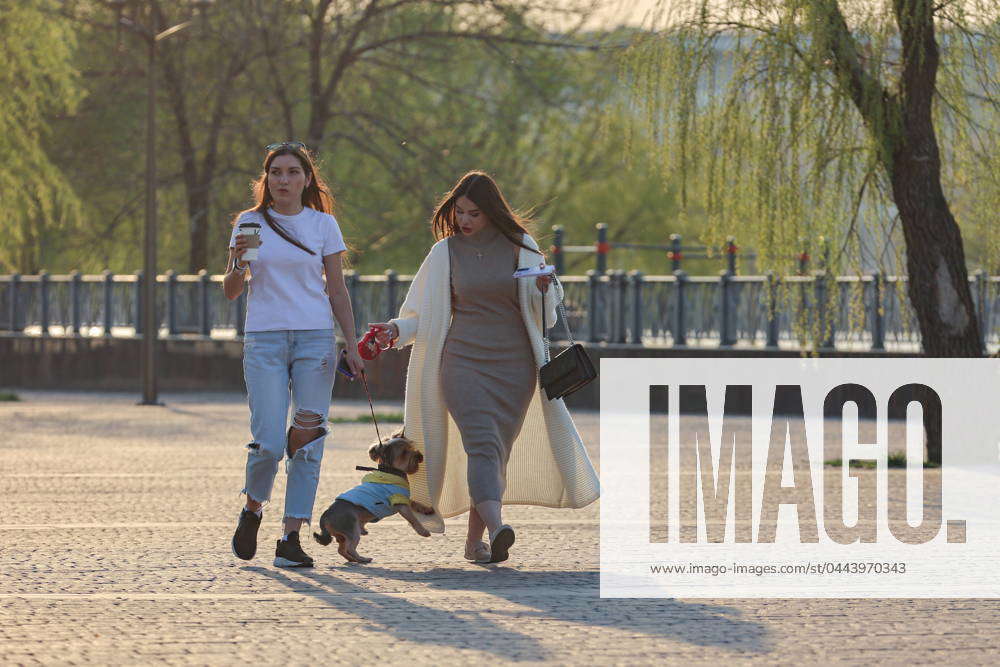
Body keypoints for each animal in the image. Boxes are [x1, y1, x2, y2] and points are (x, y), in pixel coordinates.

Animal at [314, 434, 436, 564]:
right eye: (404, 452)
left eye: (412, 447)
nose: (420, 455)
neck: (391, 472)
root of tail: (325, 515)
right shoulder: (400, 504)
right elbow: (413, 519)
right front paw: (423, 531)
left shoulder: (404, 498)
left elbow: (415, 503)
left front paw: (427, 509)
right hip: (351, 530)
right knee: (350, 547)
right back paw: (362, 559)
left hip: (342, 535)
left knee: (341, 550)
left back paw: (352, 559)